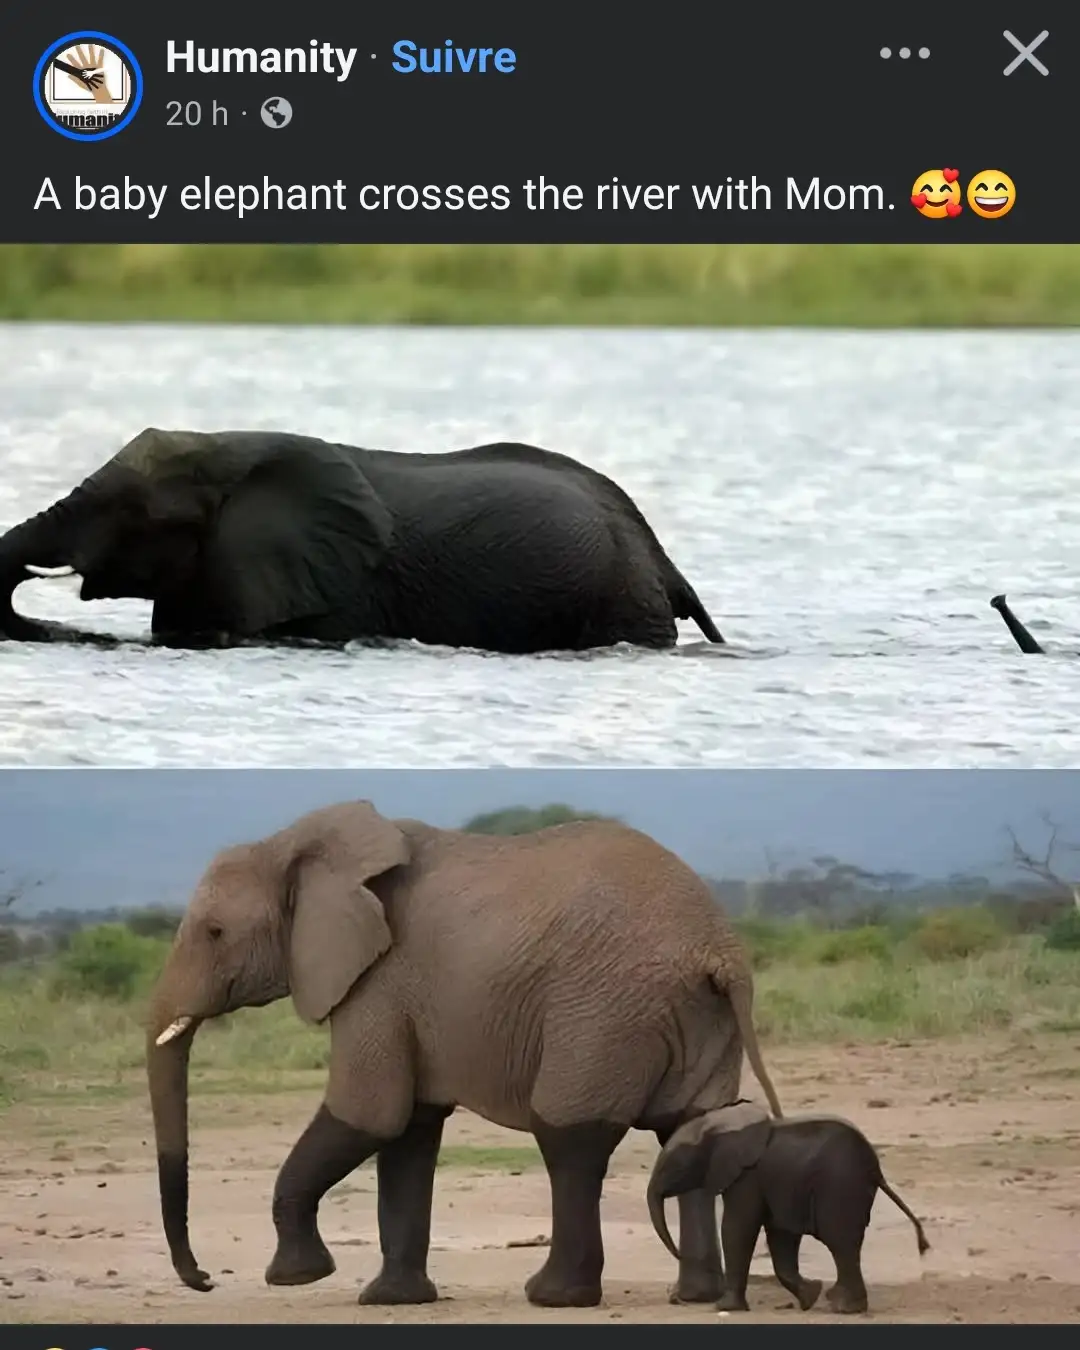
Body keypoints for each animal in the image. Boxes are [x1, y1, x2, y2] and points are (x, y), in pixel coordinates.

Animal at [145, 801, 783, 1309]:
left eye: (214, 932)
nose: (204, 1279)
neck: (294, 845)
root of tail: (717, 948)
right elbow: (409, 1130)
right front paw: (391, 1300)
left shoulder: (379, 981)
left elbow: (370, 1114)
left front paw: (297, 1278)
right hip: (692, 1014)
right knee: (690, 1127)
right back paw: (694, 1296)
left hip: (603, 1012)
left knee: (570, 1137)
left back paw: (553, 1296)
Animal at [647, 1101, 929, 1315]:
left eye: (676, 1166)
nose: (680, 1256)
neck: (720, 1123)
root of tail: (875, 1168)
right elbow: (781, 1236)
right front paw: (810, 1296)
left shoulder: (747, 1177)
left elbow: (737, 1228)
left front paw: (724, 1308)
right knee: (846, 1243)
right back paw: (839, 1302)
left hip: (840, 1186)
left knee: (840, 1241)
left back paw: (843, 1307)